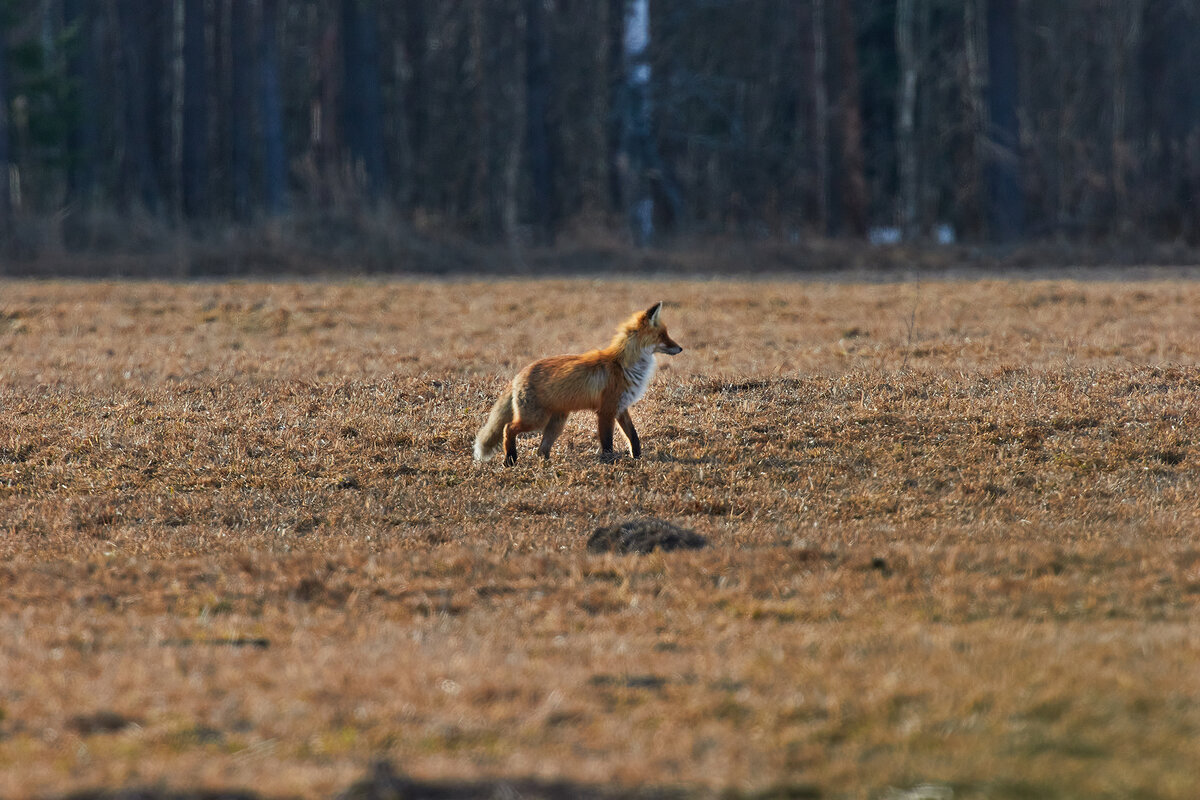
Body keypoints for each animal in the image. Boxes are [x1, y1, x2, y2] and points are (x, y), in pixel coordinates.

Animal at [475, 302, 686, 465]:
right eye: (663, 336)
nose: (680, 348)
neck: (624, 364)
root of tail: (519, 374)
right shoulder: (606, 410)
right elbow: (607, 442)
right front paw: (609, 462)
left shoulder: (621, 407)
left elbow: (633, 436)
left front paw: (637, 458)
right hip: (535, 419)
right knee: (508, 428)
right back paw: (510, 459)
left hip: (556, 423)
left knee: (541, 450)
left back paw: (547, 465)